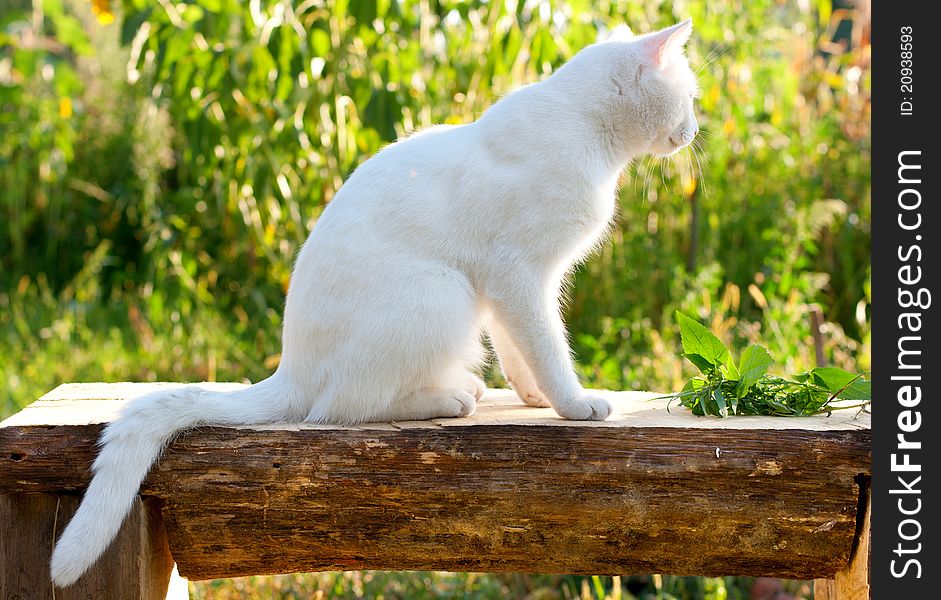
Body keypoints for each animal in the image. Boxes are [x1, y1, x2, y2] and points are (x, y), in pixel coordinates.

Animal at [51, 18, 696, 584]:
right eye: (689, 96)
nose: (694, 130)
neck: (585, 131)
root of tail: (288, 368)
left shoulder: (507, 286)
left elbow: (520, 351)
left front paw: (534, 397)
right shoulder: (518, 275)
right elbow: (547, 346)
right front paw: (573, 403)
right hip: (443, 292)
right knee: (337, 409)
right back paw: (450, 397)